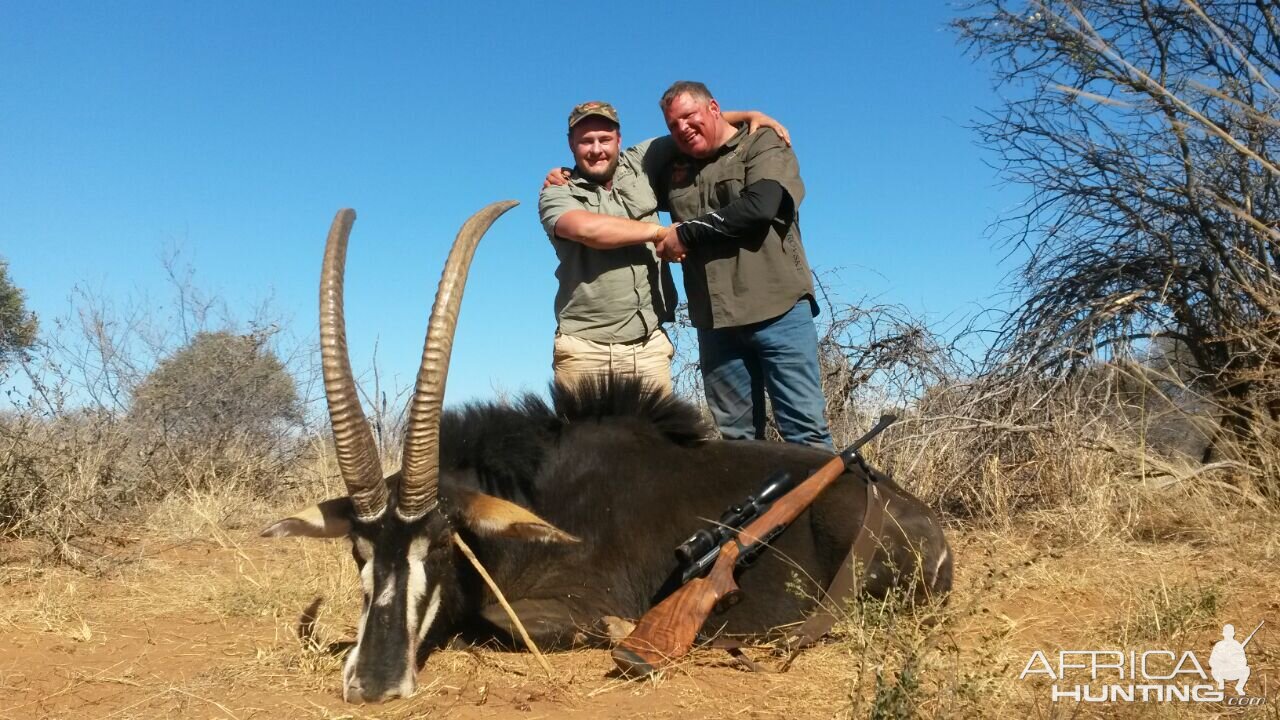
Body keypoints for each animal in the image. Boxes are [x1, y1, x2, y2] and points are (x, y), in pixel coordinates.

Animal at [264, 199, 952, 702]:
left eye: (439, 544)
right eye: (359, 550)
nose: (373, 683)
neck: (538, 494)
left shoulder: (573, 599)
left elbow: (496, 620)